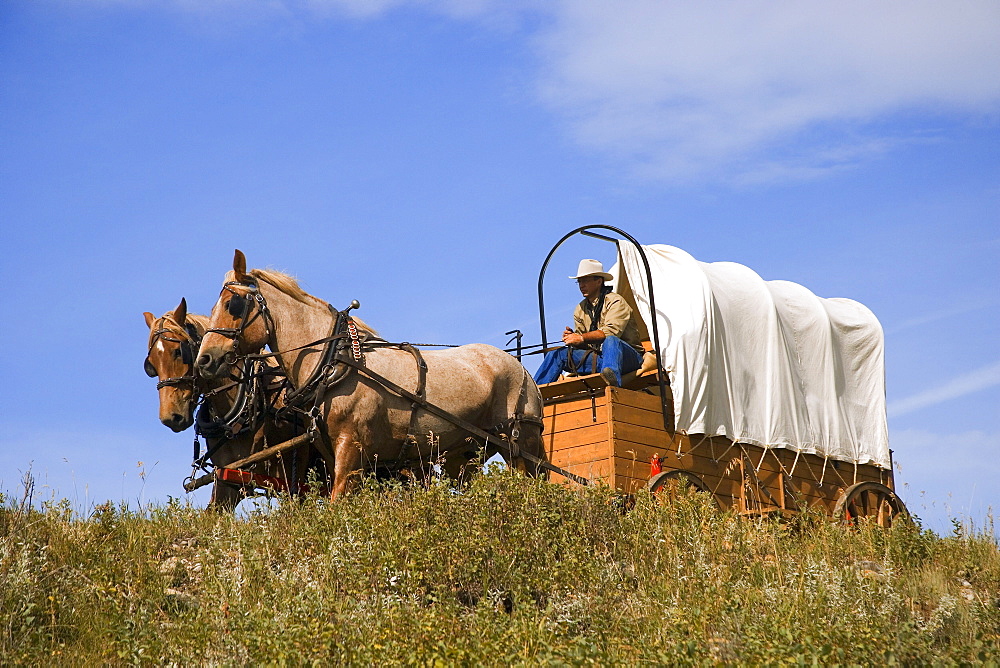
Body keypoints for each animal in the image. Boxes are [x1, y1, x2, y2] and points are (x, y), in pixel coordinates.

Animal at [195, 250, 548, 500]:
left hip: (522, 441)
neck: (334, 363)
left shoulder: (351, 449)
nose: (205, 359)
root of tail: (521, 368)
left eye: (233, 304)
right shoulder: (337, 456)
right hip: (467, 453)